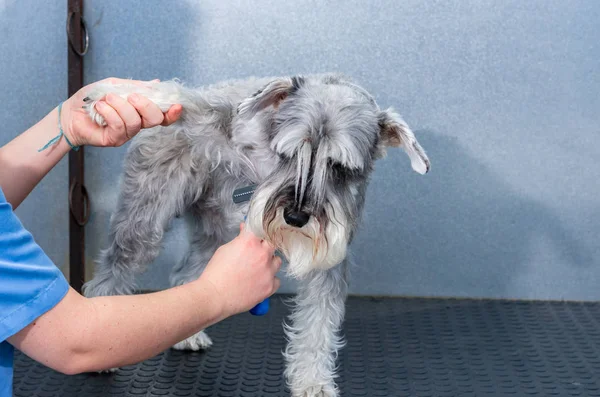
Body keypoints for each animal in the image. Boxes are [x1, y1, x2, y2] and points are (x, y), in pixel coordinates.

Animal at [82, 72, 432, 394]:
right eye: (288, 154)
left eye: (339, 167)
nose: (295, 216)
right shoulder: (218, 117)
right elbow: (186, 97)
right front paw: (107, 94)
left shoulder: (330, 258)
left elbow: (319, 322)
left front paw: (313, 382)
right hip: (144, 221)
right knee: (113, 271)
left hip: (215, 234)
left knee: (187, 275)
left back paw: (189, 334)